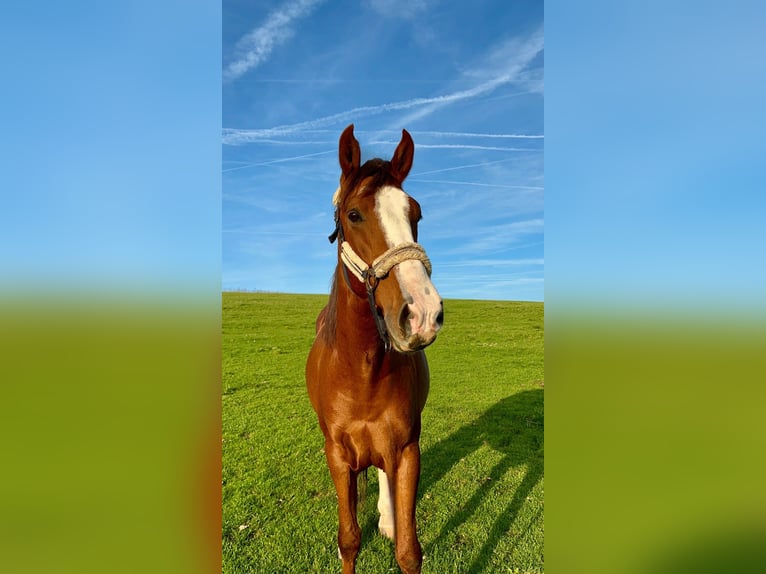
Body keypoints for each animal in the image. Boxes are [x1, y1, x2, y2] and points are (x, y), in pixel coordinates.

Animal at [306, 126, 444, 574]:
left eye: (416, 214)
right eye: (354, 215)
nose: (422, 313)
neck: (362, 372)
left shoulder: (407, 450)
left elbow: (408, 550)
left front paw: (392, 523)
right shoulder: (337, 454)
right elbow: (349, 539)